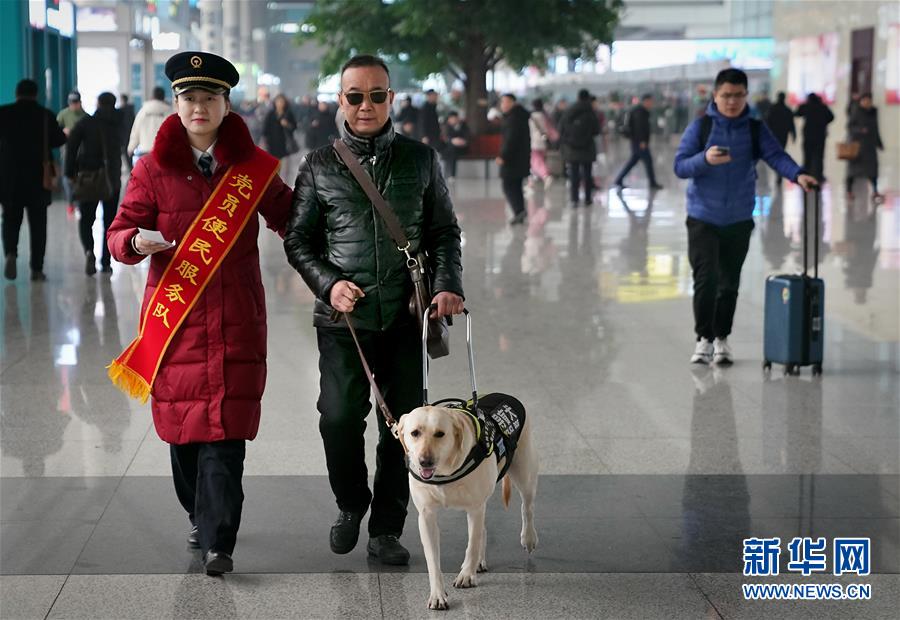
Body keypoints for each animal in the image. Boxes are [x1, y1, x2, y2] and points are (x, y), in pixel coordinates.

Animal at [398, 398, 536, 612]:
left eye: (440, 433)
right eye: (415, 433)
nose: (424, 461)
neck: (445, 471)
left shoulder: (475, 508)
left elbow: (471, 544)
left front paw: (466, 575)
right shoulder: (426, 515)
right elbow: (433, 560)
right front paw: (437, 594)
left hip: (524, 470)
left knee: (526, 506)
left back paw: (528, 538)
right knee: (483, 530)